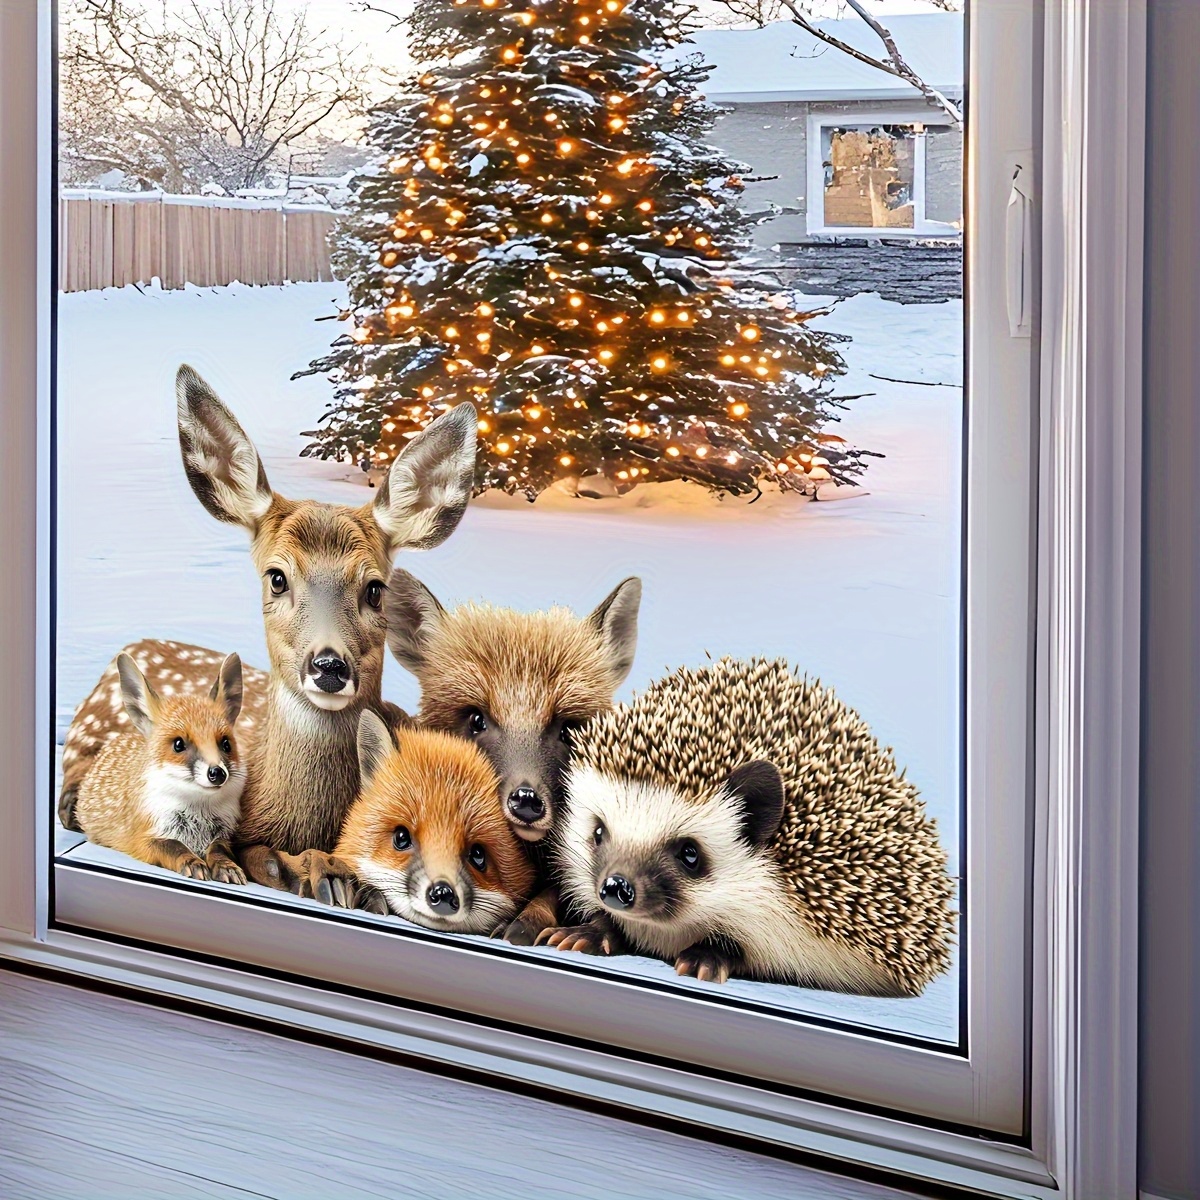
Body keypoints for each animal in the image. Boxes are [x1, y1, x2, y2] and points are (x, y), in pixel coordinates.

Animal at [74, 652, 247, 883]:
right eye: (179, 744)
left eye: (226, 744)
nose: (217, 773)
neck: (197, 815)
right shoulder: (144, 838)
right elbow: (174, 846)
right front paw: (192, 861)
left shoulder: (225, 835)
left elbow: (218, 850)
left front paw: (226, 865)